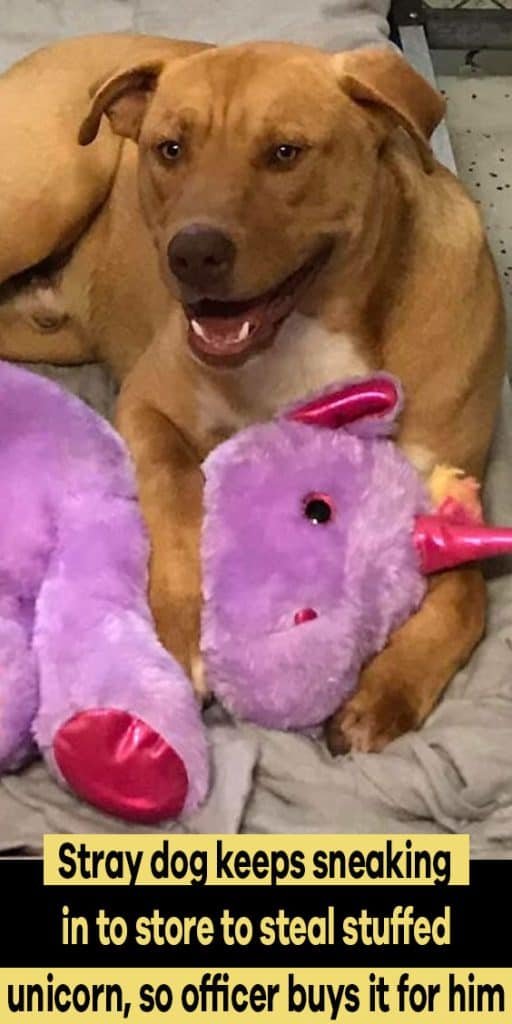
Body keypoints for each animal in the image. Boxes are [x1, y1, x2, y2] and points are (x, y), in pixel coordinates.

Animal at [0, 34, 505, 753]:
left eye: (286, 152)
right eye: (169, 148)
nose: (192, 254)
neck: (312, 327)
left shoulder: (451, 483)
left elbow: (468, 595)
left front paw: (390, 689)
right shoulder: (148, 408)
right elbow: (177, 493)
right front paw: (182, 632)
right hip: (52, 187)